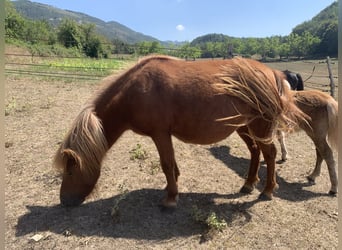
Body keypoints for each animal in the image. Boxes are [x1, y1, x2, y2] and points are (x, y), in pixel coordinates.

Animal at [54, 56, 306, 207]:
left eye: (70, 171)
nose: (64, 201)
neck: (135, 91)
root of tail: (274, 73)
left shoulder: (160, 134)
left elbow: (166, 164)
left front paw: (170, 199)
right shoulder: (164, 135)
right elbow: (171, 164)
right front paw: (171, 187)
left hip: (259, 125)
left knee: (270, 154)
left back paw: (268, 190)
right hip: (244, 127)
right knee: (255, 151)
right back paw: (248, 184)